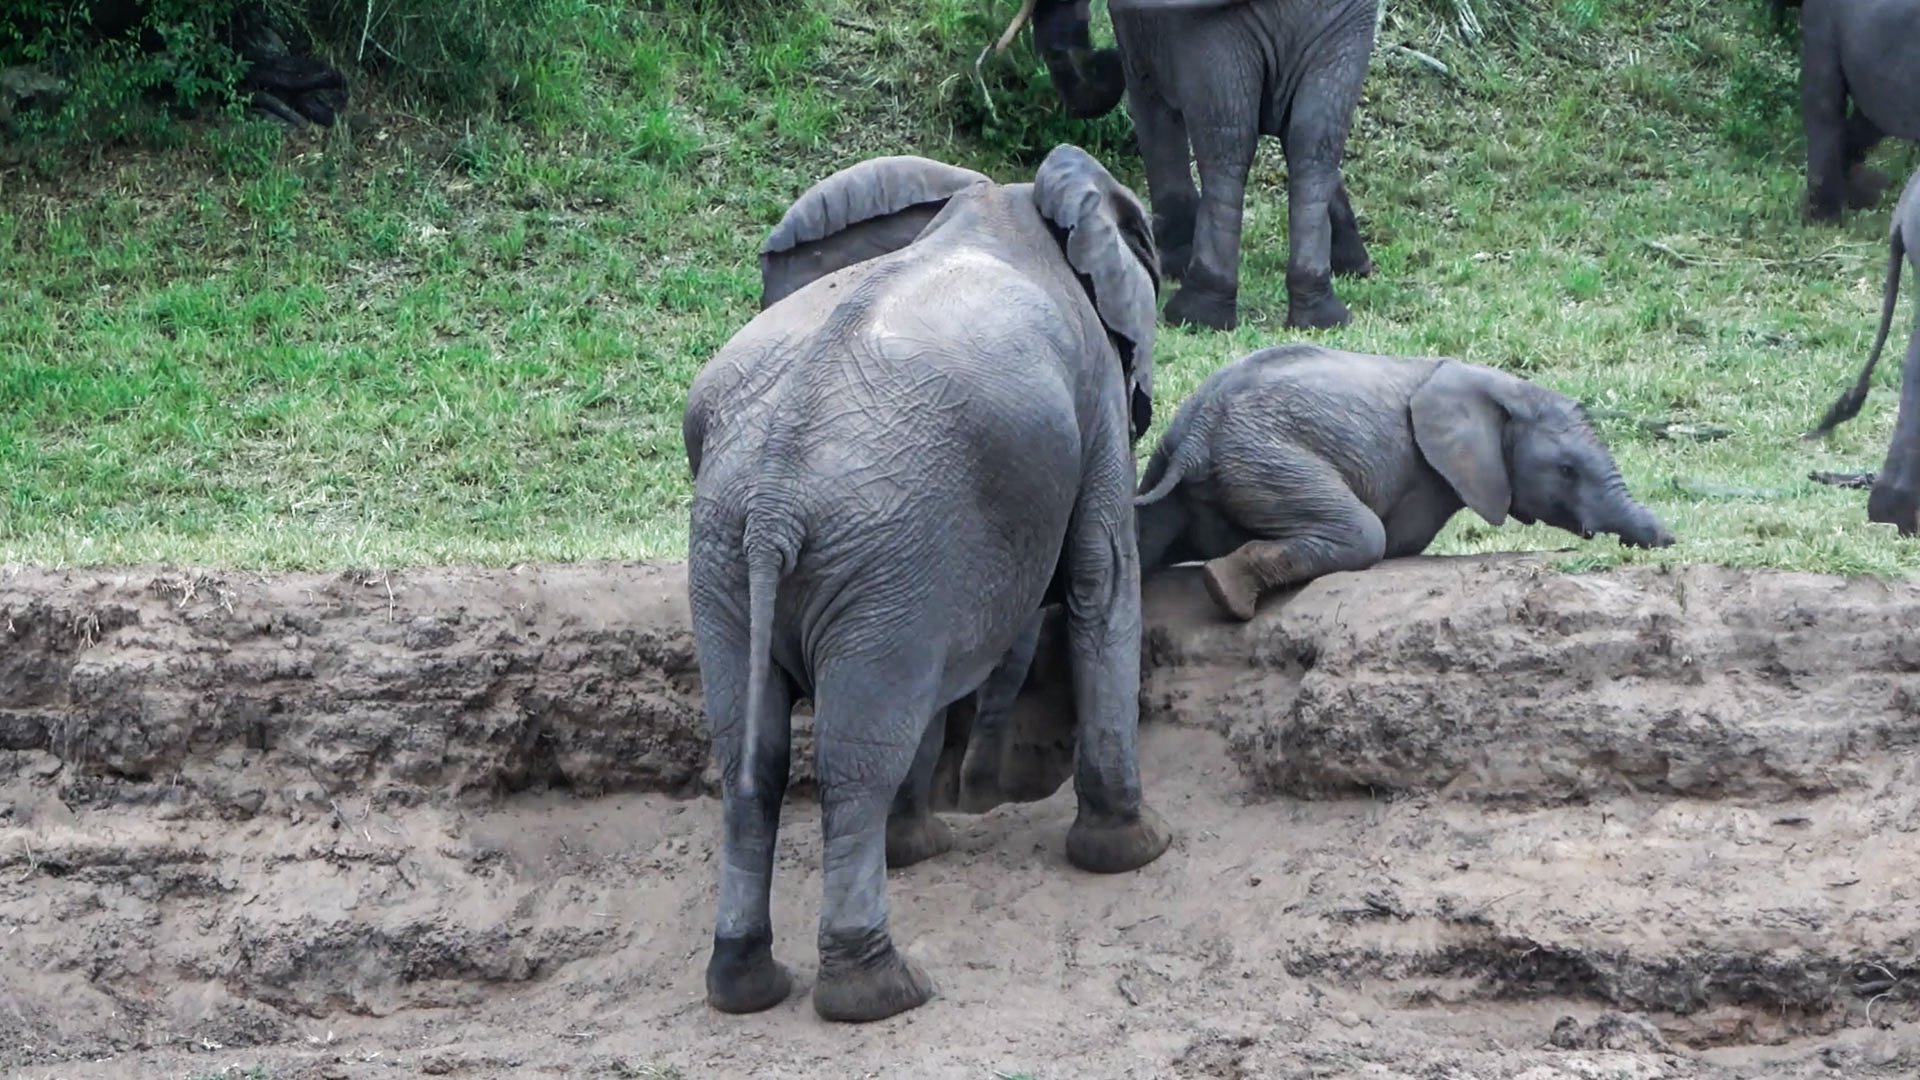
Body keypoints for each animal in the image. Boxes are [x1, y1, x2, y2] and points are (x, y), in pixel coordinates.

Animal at [684, 145, 1173, 1024]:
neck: (998, 198)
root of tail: (774, 502)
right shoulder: (1091, 392)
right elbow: (1103, 577)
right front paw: (1135, 852)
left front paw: (921, 847)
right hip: (876, 553)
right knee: (854, 761)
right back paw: (880, 994)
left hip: (741, 559)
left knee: (754, 753)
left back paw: (745, 985)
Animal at [1133, 344, 1676, 621]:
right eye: (1566, 470)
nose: (1670, 539)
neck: (1503, 385)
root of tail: (1197, 433)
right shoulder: (1428, 474)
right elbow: (1400, 541)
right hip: (1267, 456)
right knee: (1364, 535)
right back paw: (1226, 592)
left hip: (1175, 463)